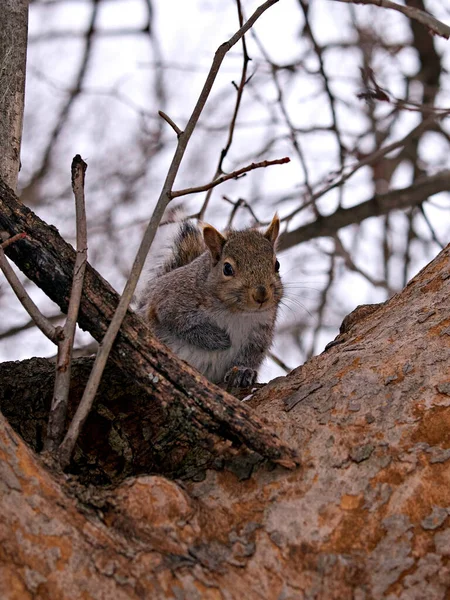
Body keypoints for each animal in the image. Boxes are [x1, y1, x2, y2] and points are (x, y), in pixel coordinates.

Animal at [137, 216, 284, 390]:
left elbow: (252, 355)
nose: (261, 295)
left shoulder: (260, 331)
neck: (236, 312)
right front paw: (218, 339)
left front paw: (243, 371)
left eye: (277, 264)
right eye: (227, 268)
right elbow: (183, 326)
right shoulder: (167, 303)